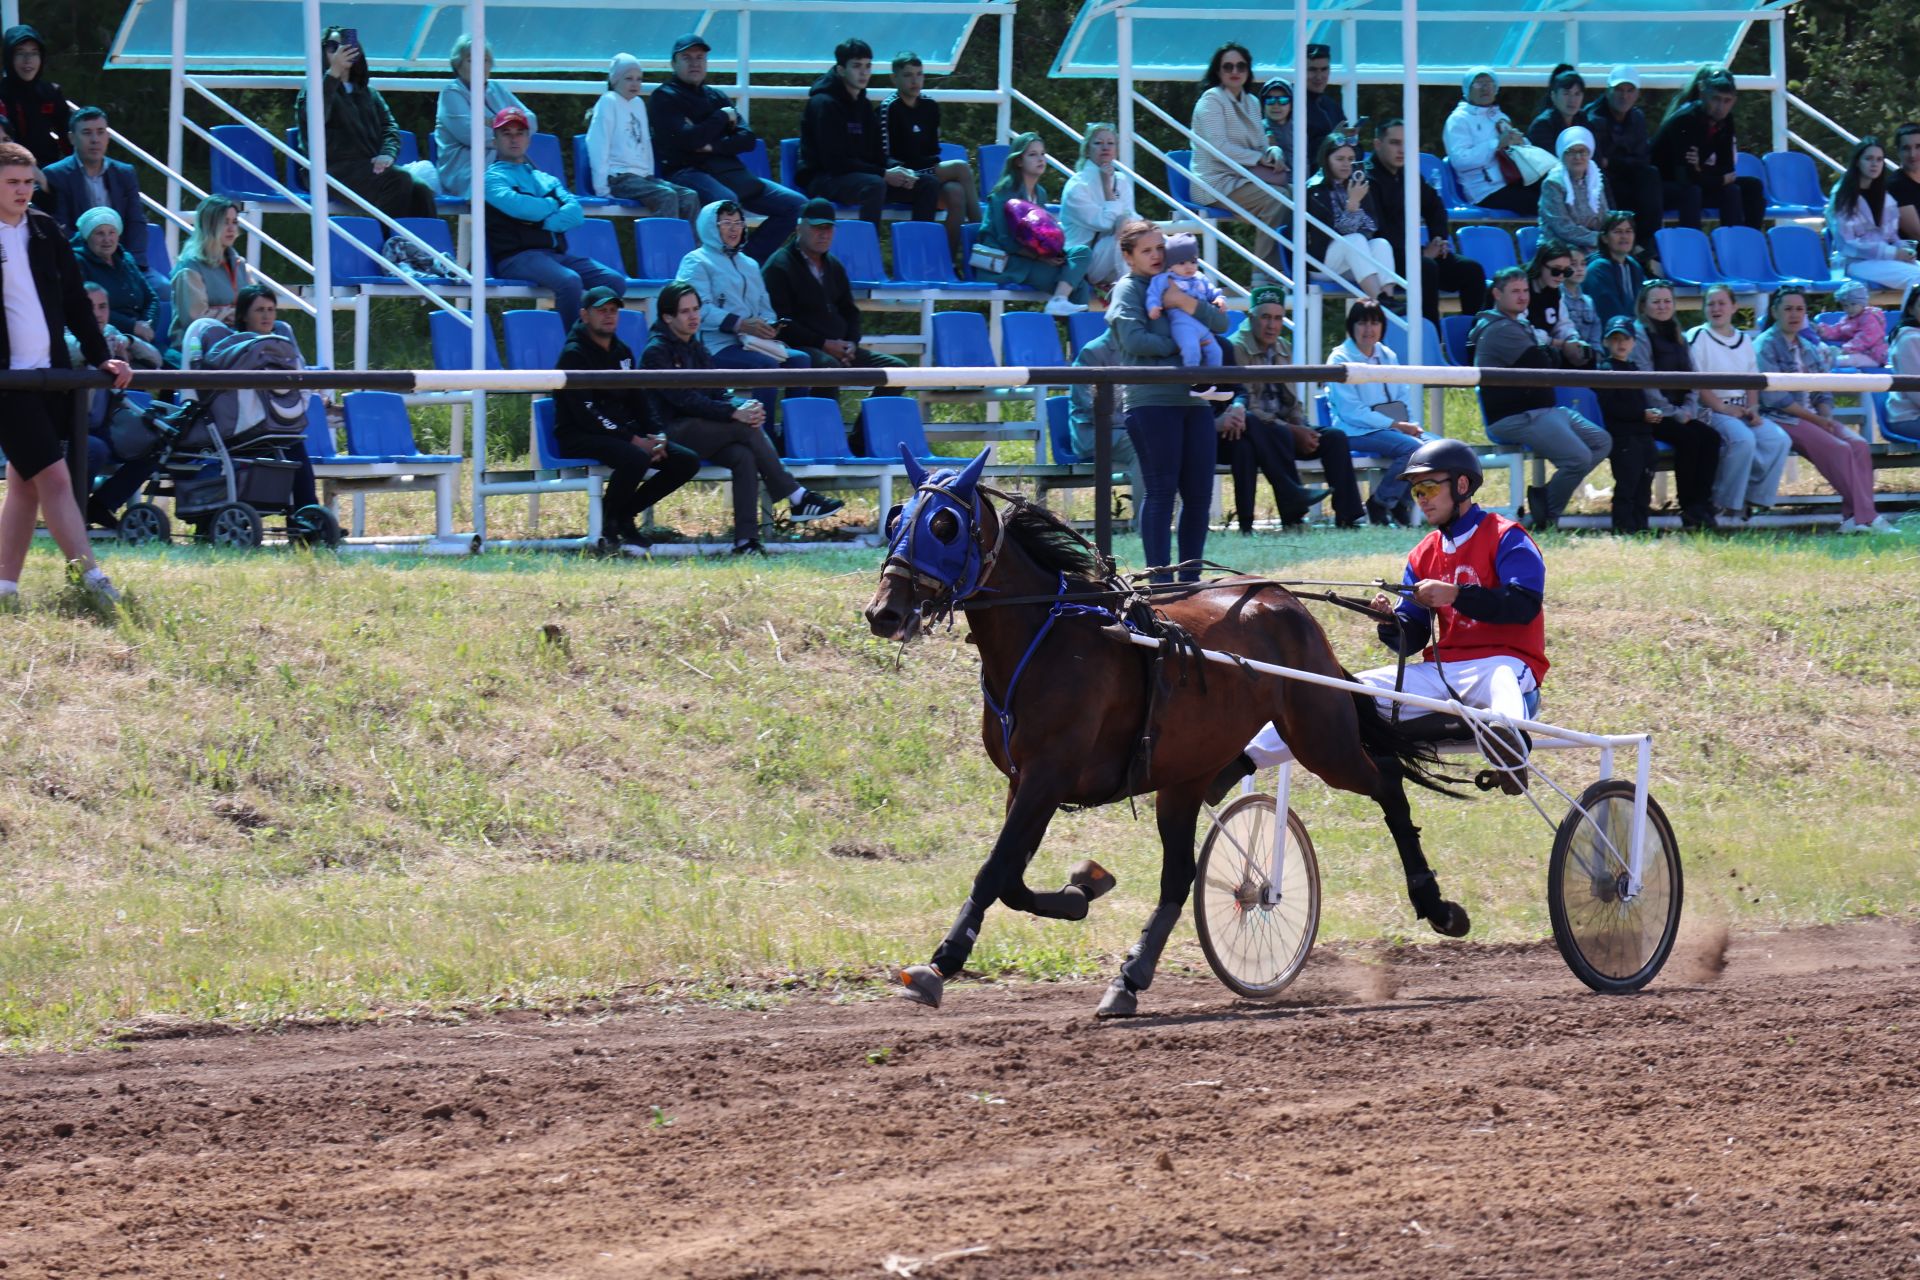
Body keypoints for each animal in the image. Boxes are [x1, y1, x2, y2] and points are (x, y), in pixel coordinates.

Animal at [860, 450, 1466, 1020]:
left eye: (944, 525)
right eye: (896, 519)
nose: (884, 612)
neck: (1046, 636)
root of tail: (1286, 601)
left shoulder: (1047, 776)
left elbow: (995, 868)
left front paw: (942, 961)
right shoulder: (1023, 779)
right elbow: (1010, 876)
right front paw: (1082, 889)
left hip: (1322, 737)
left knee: (1386, 783)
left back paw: (1436, 904)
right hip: (1186, 775)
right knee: (1180, 874)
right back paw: (1130, 979)